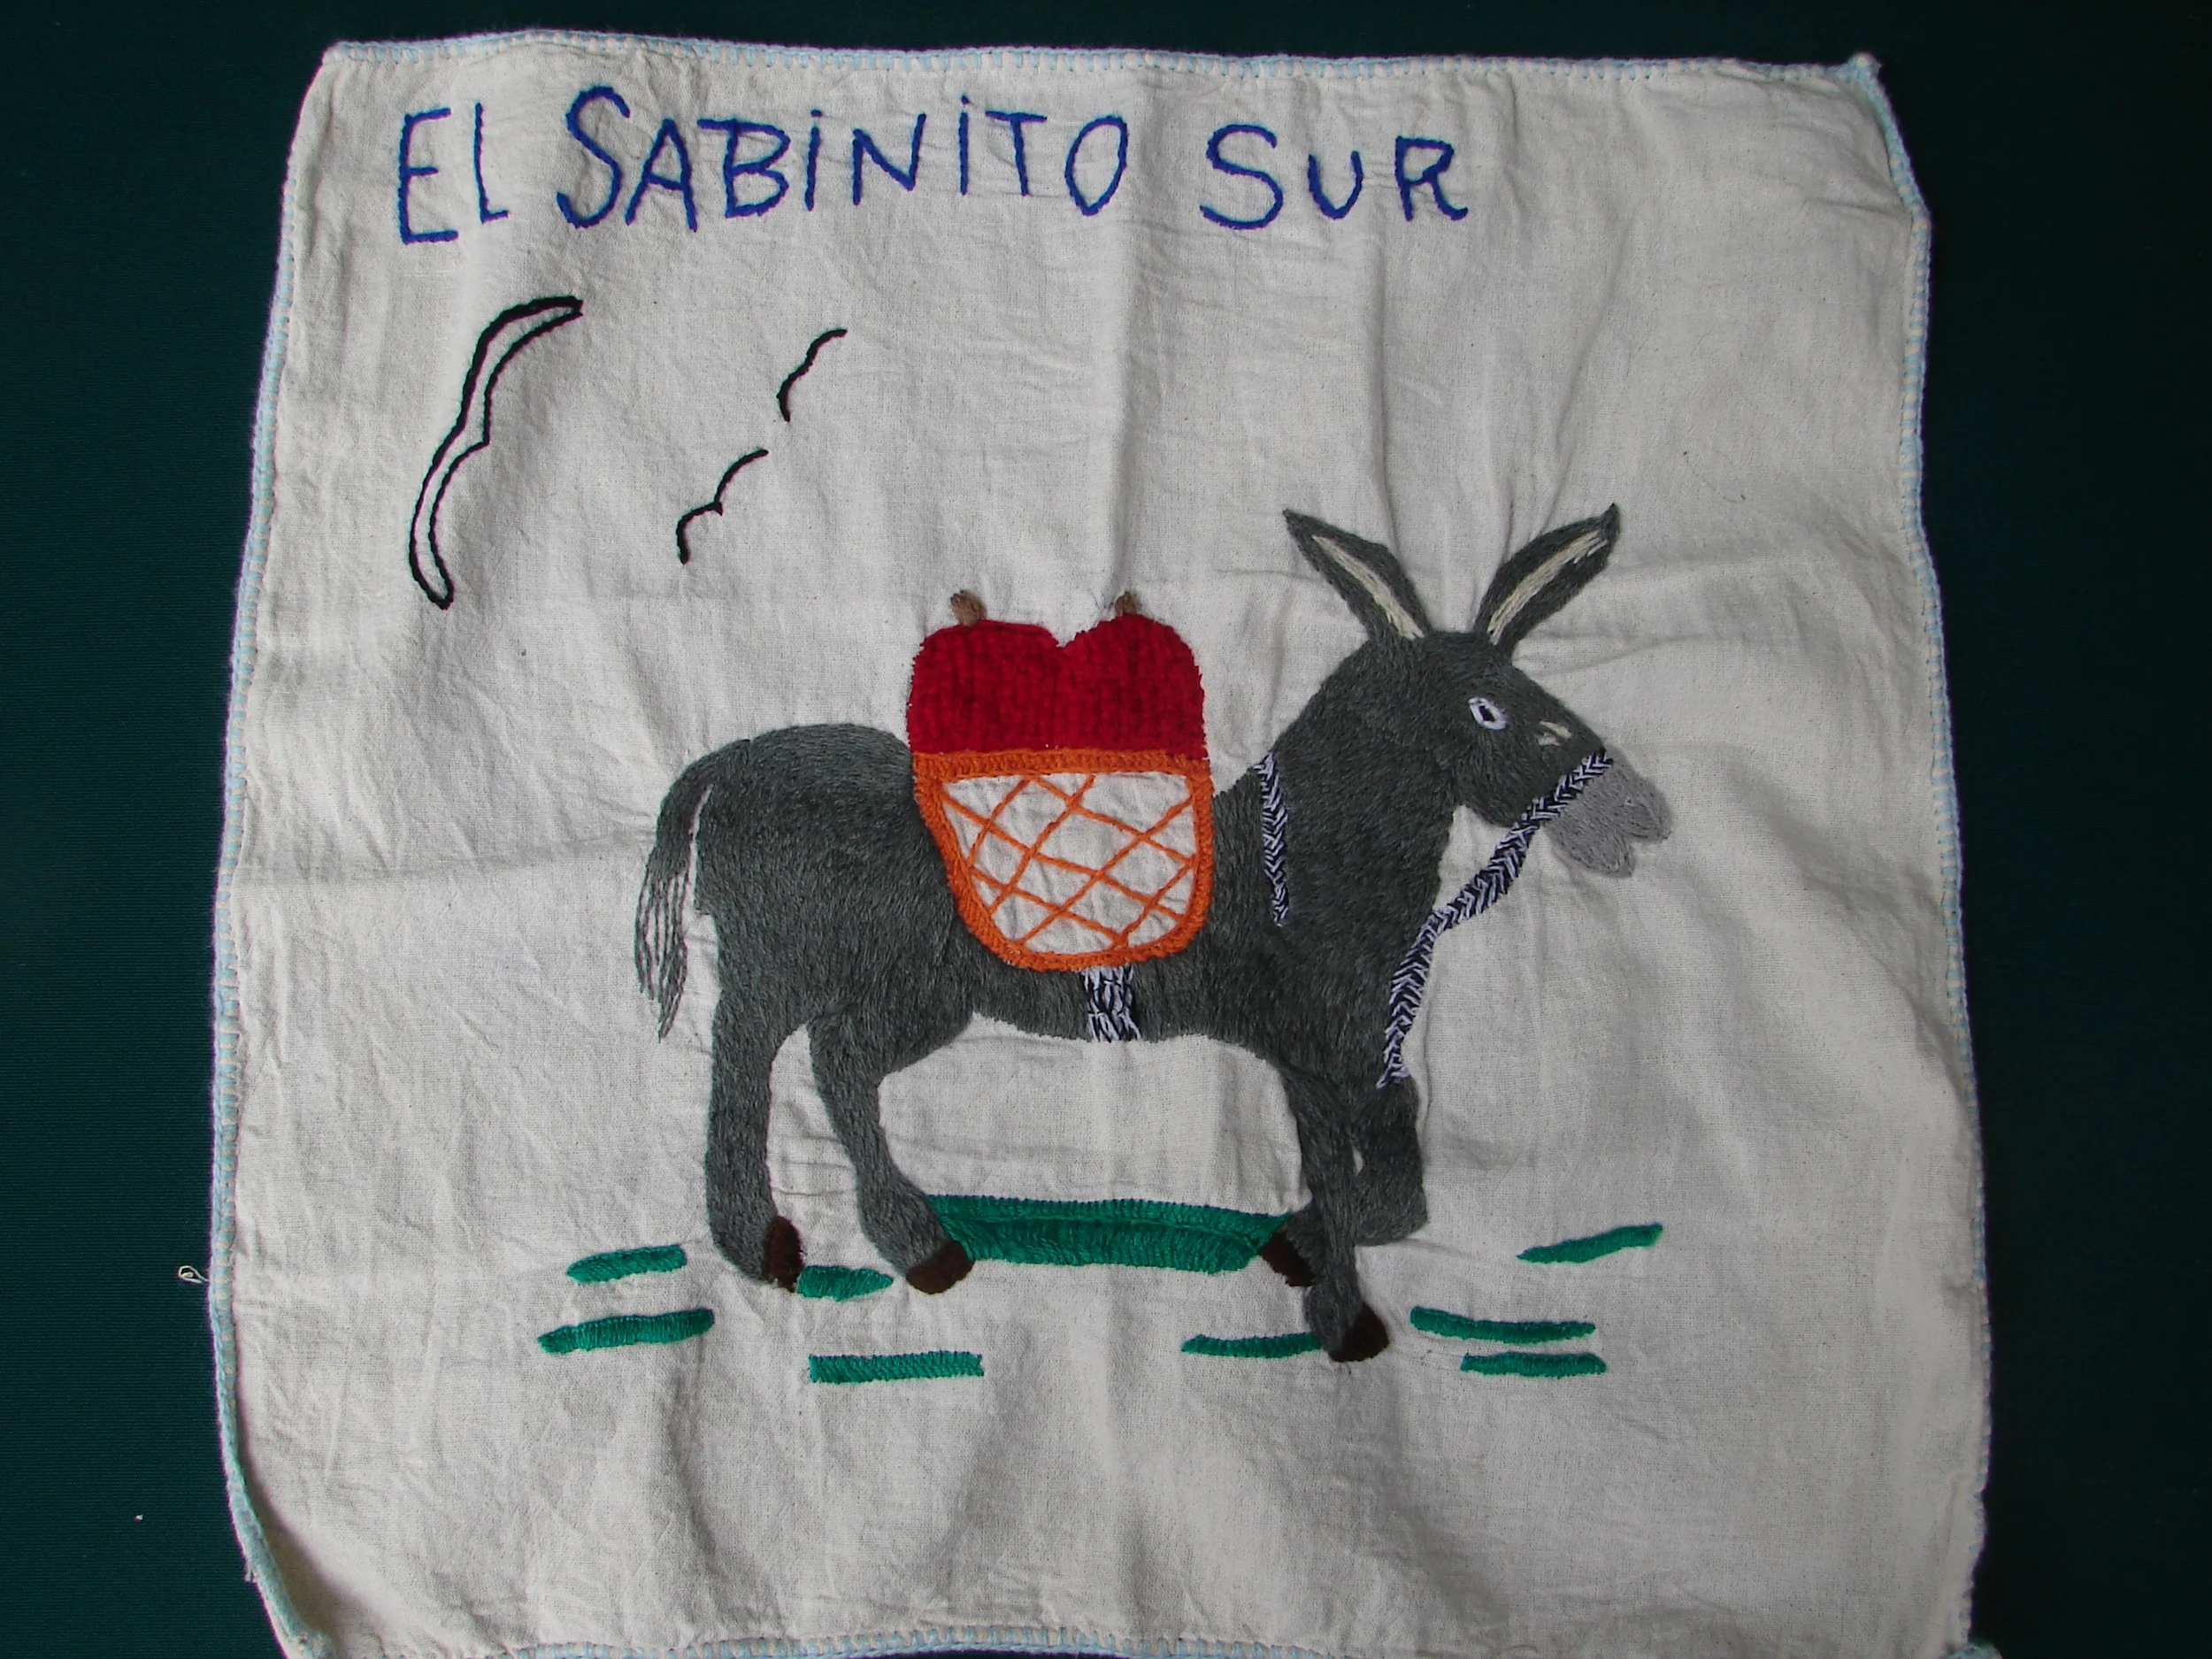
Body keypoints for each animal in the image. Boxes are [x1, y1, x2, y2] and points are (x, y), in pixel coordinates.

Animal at [634, 509, 1671, 1360]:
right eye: (1489, 711)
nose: (1644, 816)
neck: (1297, 866)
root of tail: (730, 762)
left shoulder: (1355, 1044)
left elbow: (1394, 1160)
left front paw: (1302, 1246)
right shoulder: (1312, 1045)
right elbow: (1342, 1170)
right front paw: (1344, 1319)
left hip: (886, 987)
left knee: (825, 1064)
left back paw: (881, 1241)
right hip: (805, 964)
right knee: (757, 1066)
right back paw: (800, 1242)